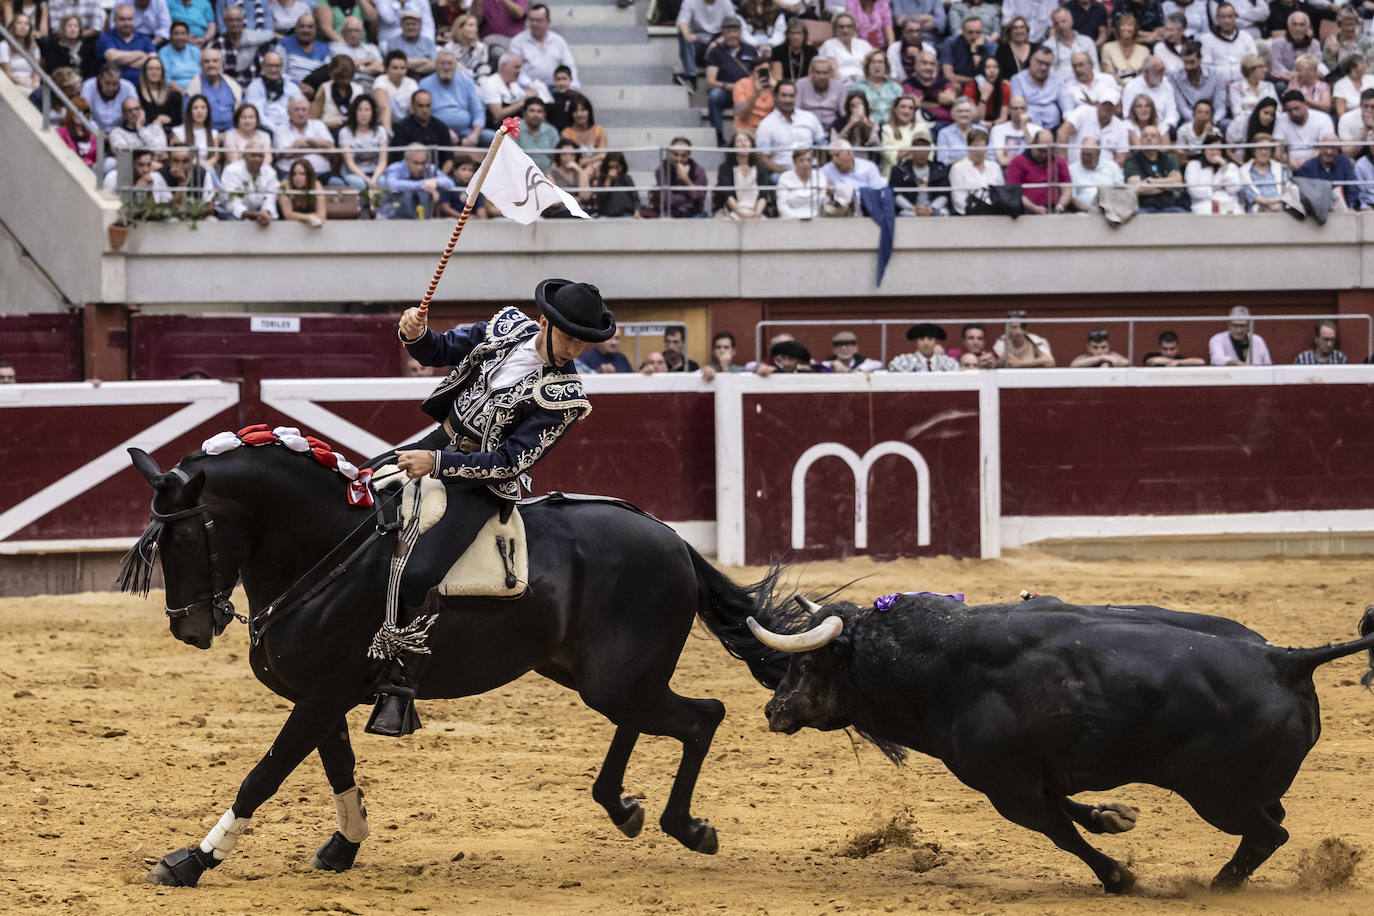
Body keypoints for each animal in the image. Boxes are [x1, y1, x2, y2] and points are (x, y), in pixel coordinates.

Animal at [747, 590, 1374, 889]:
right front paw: (1114, 817)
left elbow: (1061, 833)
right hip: (1241, 792)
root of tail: (1282, 660)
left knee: (1270, 833)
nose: (773, 709)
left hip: (1218, 798)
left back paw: (1218, 887)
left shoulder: (1007, 789)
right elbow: (1074, 810)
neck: (942, 664)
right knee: (1273, 821)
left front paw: (1119, 876)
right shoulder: (1032, 776)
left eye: (807, 664)